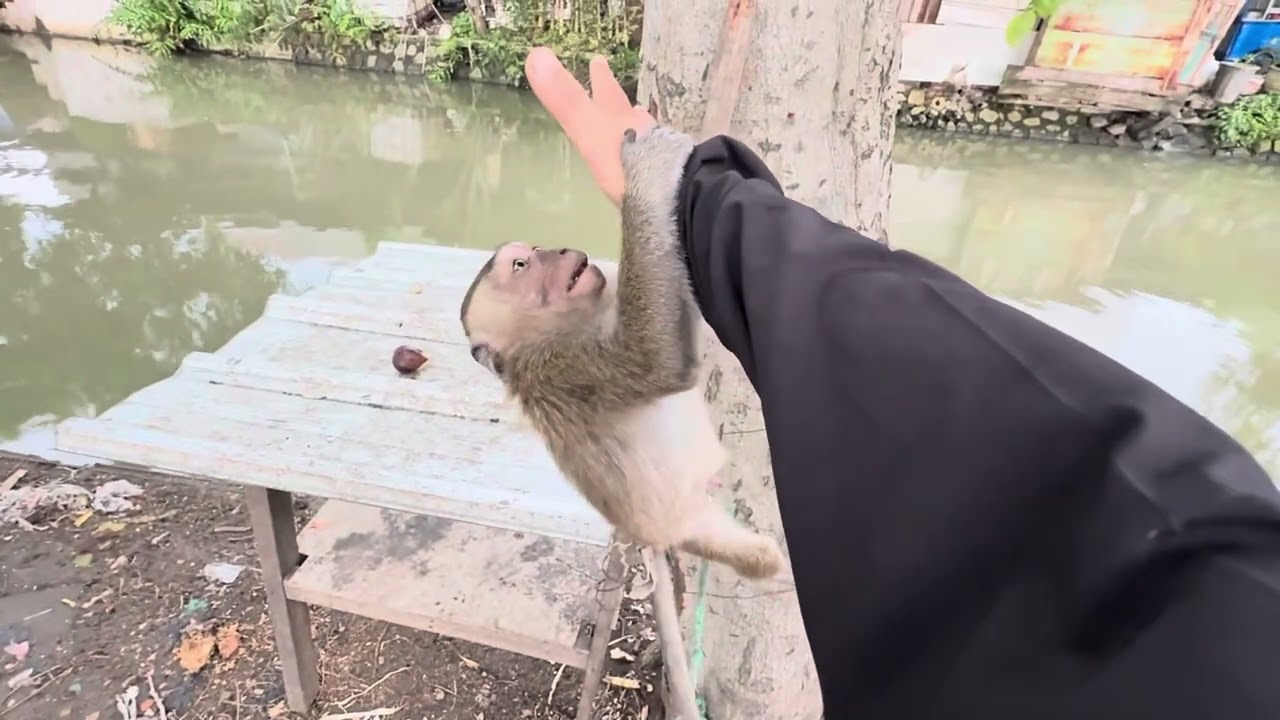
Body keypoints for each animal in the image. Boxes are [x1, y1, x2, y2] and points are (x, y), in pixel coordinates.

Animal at [458, 124, 785, 584]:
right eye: (523, 265)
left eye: (537, 250)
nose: (559, 251)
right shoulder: (559, 366)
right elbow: (654, 359)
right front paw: (645, 174)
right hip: (681, 520)